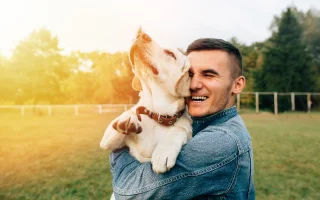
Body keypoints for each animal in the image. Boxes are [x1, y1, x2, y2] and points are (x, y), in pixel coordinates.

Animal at [100, 30, 191, 173]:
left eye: (171, 54)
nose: (141, 34)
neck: (156, 114)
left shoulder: (185, 129)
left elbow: (179, 129)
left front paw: (163, 153)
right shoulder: (111, 143)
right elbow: (118, 124)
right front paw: (127, 119)